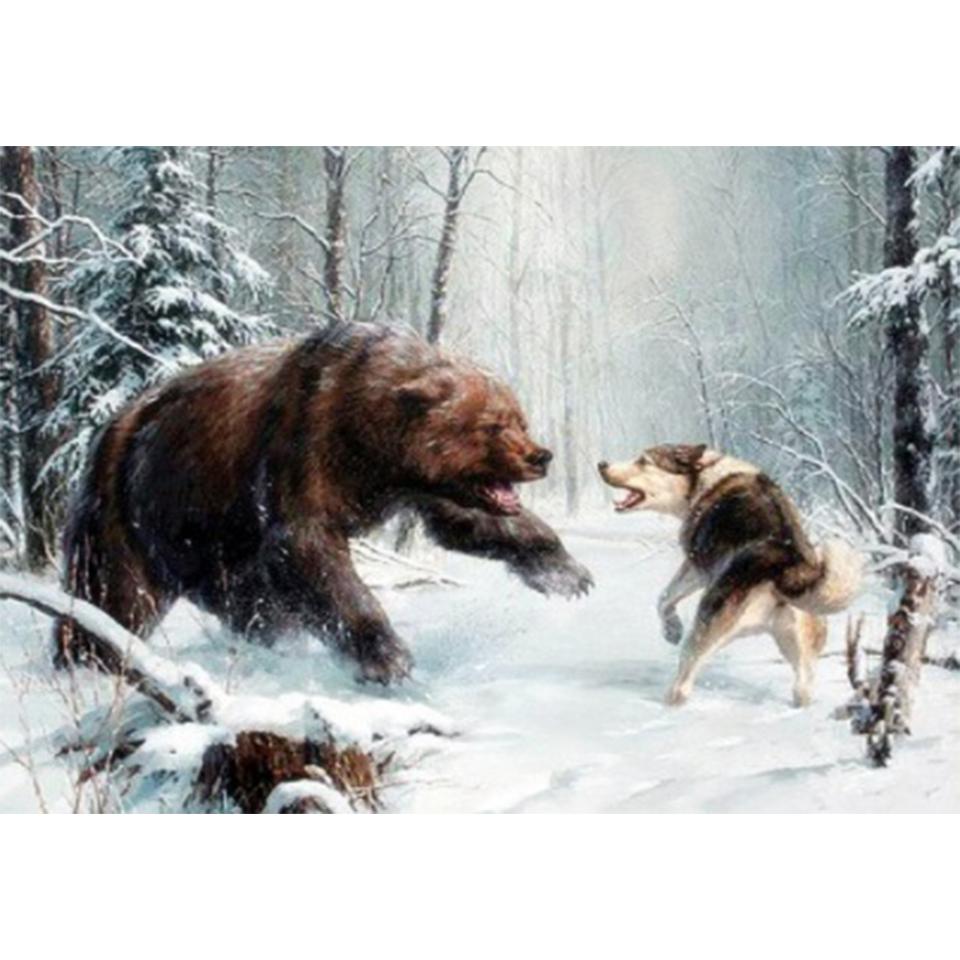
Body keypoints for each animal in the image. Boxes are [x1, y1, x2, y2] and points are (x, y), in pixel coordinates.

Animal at [55, 320, 593, 683]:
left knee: (252, 604)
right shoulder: (302, 443)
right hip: (130, 508)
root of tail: (112, 428)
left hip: (213, 541)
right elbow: (307, 548)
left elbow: (467, 521)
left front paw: (567, 574)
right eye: (492, 425)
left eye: (520, 419)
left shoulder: (416, 483)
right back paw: (86, 661)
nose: (540, 455)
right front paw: (388, 658)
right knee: (113, 595)